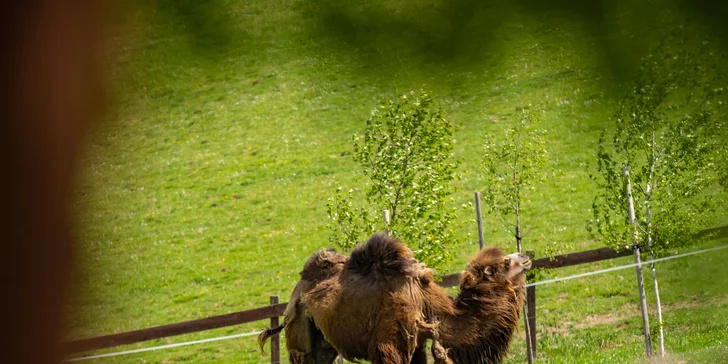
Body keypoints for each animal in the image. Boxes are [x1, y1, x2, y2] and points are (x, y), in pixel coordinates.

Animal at [260, 233, 528, 364]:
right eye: (506, 263)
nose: (526, 255)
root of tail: (296, 294)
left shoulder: (417, 341)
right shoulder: (389, 345)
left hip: (324, 344)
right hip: (299, 335)